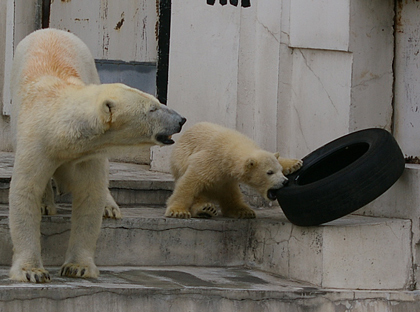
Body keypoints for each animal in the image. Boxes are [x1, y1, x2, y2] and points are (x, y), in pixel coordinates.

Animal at [7, 28, 185, 282]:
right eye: (152, 108)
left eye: (157, 101)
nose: (181, 120)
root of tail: (52, 29)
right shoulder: (37, 143)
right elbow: (25, 192)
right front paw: (32, 271)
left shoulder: (88, 154)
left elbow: (90, 193)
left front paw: (77, 267)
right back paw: (46, 204)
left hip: (90, 66)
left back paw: (110, 207)